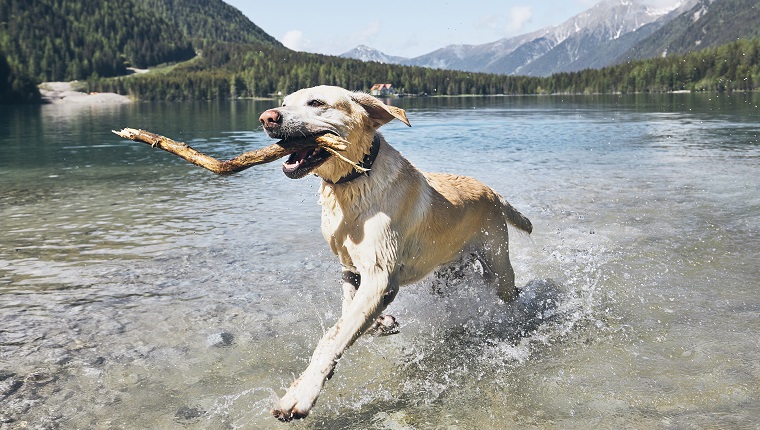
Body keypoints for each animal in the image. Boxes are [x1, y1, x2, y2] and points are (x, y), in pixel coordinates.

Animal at [258, 85, 532, 422]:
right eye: (284, 103)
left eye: (317, 102)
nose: (267, 117)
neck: (353, 183)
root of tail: (493, 192)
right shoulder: (350, 269)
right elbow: (347, 316)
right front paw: (380, 324)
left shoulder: (380, 277)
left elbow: (330, 339)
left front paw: (300, 395)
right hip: (447, 275)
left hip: (498, 261)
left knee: (510, 290)